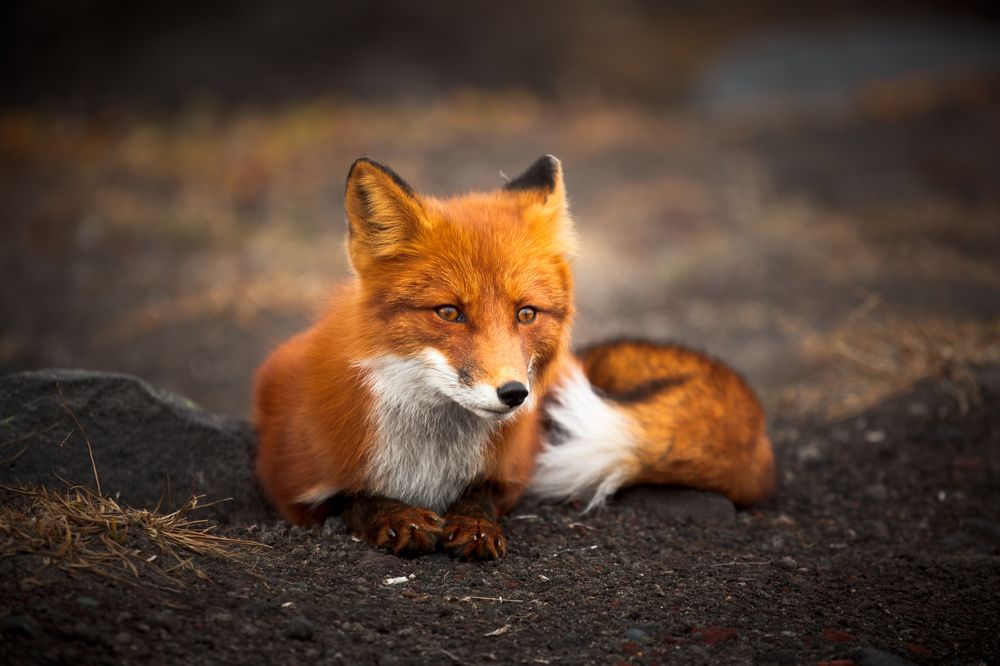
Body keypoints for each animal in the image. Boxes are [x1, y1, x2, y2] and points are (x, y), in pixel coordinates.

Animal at [253, 155, 776, 560]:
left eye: (526, 313)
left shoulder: (510, 473)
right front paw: (395, 516)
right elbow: (352, 497)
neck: (427, 461)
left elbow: (481, 495)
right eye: (449, 312)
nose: (514, 394)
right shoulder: (288, 483)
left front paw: (474, 523)